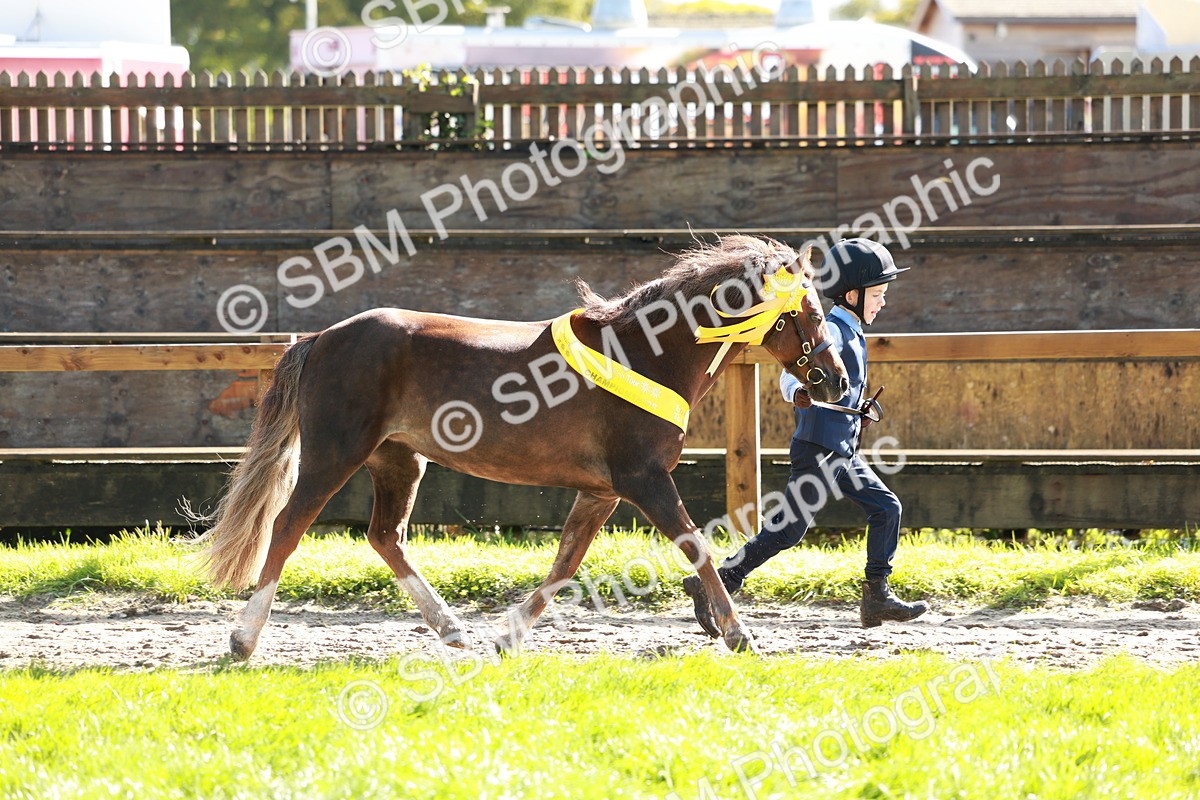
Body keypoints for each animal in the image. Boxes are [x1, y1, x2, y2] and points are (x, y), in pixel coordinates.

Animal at [199, 234, 849, 659]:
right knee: (288, 527)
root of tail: (322, 337)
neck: (647, 352)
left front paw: (507, 635)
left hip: (399, 459)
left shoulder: (603, 491)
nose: (836, 382)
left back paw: (452, 628)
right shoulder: (644, 480)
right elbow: (696, 547)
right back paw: (243, 639)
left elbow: (567, 562)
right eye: (812, 311)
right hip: (336, 453)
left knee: (385, 536)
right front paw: (739, 633)